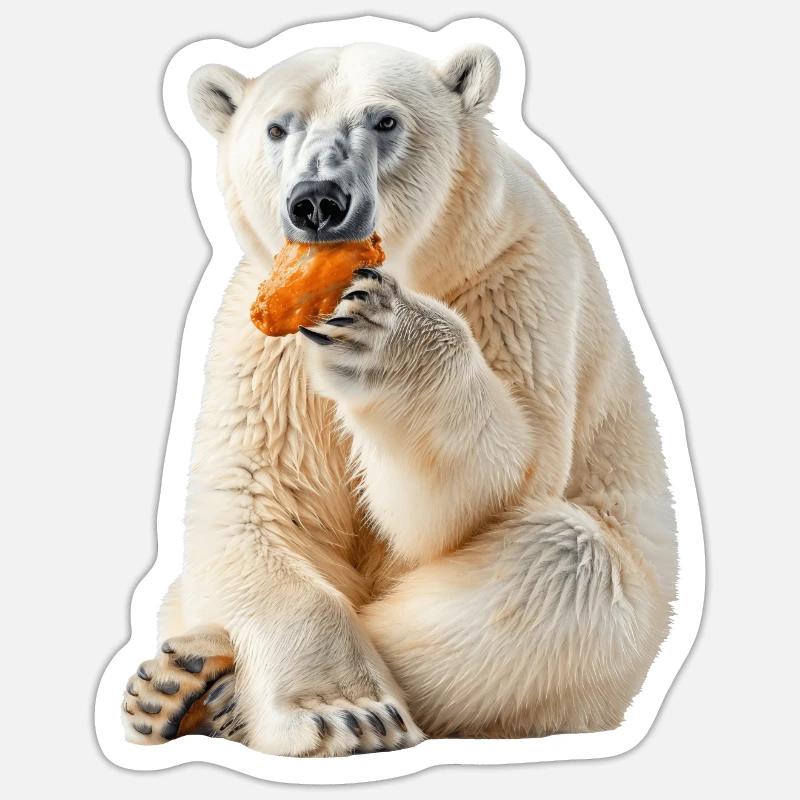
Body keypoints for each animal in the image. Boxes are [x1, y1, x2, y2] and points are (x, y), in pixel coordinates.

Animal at [121, 41, 677, 756]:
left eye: (384, 121)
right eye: (277, 127)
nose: (318, 201)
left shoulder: (518, 276)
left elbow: (499, 485)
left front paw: (383, 333)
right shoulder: (264, 342)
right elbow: (259, 499)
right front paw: (346, 712)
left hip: (633, 622)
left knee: (565, 566)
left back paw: (211, 692)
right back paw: (171, 686)